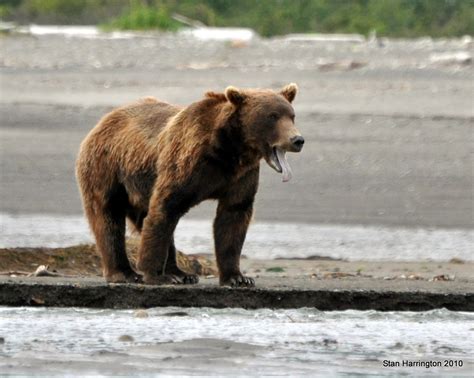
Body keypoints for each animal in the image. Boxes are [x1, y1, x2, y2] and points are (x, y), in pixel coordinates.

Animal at [75, 84, 304, 286]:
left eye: (291, 115)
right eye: (272, 116)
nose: (297, 140)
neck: (228, 151)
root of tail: (105, 119)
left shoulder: (241, 176)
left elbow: (233, 217)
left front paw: (238, 278)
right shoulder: (186, 164)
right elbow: (166, 207)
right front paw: (155, 275)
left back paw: (181, 273)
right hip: (107, 168)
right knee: (109, 217)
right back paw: (125, 273)